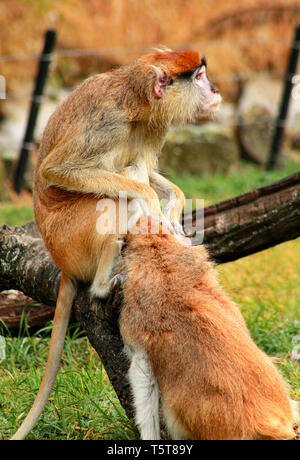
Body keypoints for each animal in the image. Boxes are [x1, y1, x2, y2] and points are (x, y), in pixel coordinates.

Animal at [10, 48, 221, 440]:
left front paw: (174, 208)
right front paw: (152, 204)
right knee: (112, 200)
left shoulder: (154, 126)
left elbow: (146, 168)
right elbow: (57, 170)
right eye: (199, 77)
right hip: (71, 237)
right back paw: (103, 285)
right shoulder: (107, 121)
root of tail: (60, 261)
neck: (137, 100)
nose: (214, 90)